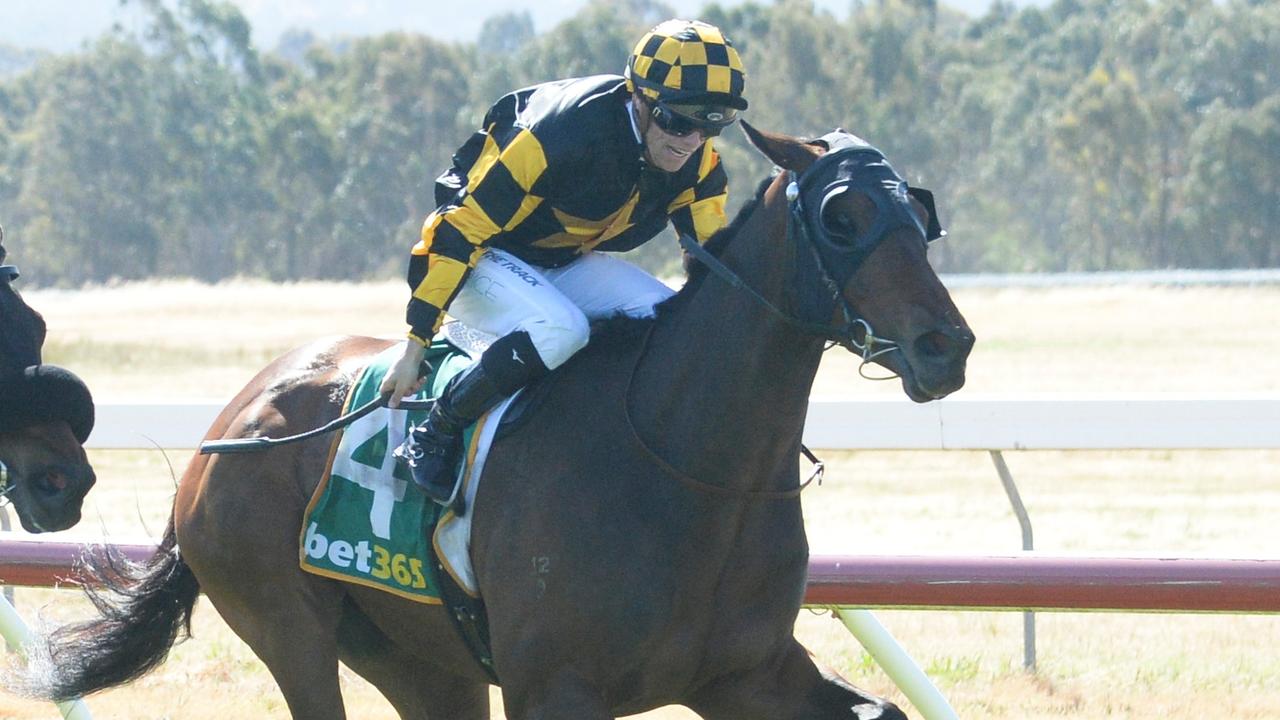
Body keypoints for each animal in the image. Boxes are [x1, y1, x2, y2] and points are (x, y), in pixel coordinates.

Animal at [24, 126, 967, 712]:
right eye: (842, 216)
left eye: (918, 212)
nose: (946, 346)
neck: (692, 468)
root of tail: (230, 421)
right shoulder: (556, 689)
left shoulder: (746, 673)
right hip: (286, 624)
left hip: (419, 660)